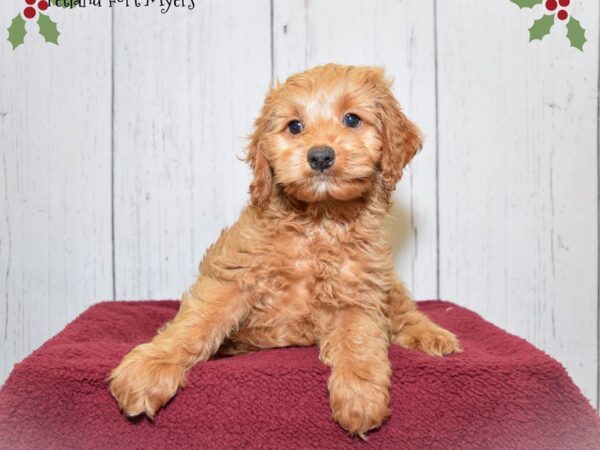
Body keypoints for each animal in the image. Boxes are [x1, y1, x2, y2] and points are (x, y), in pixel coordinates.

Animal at [110, 63, 462, 436]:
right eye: (294, 126)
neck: (319, 221)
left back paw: (432, 335)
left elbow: (358, 339)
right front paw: (149, 369)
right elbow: (197, 321)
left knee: (403, 310)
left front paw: (360, 395)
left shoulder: (358, 291)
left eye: (352, 119)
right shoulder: (236, 273)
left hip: (386, 281)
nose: (320, 156)